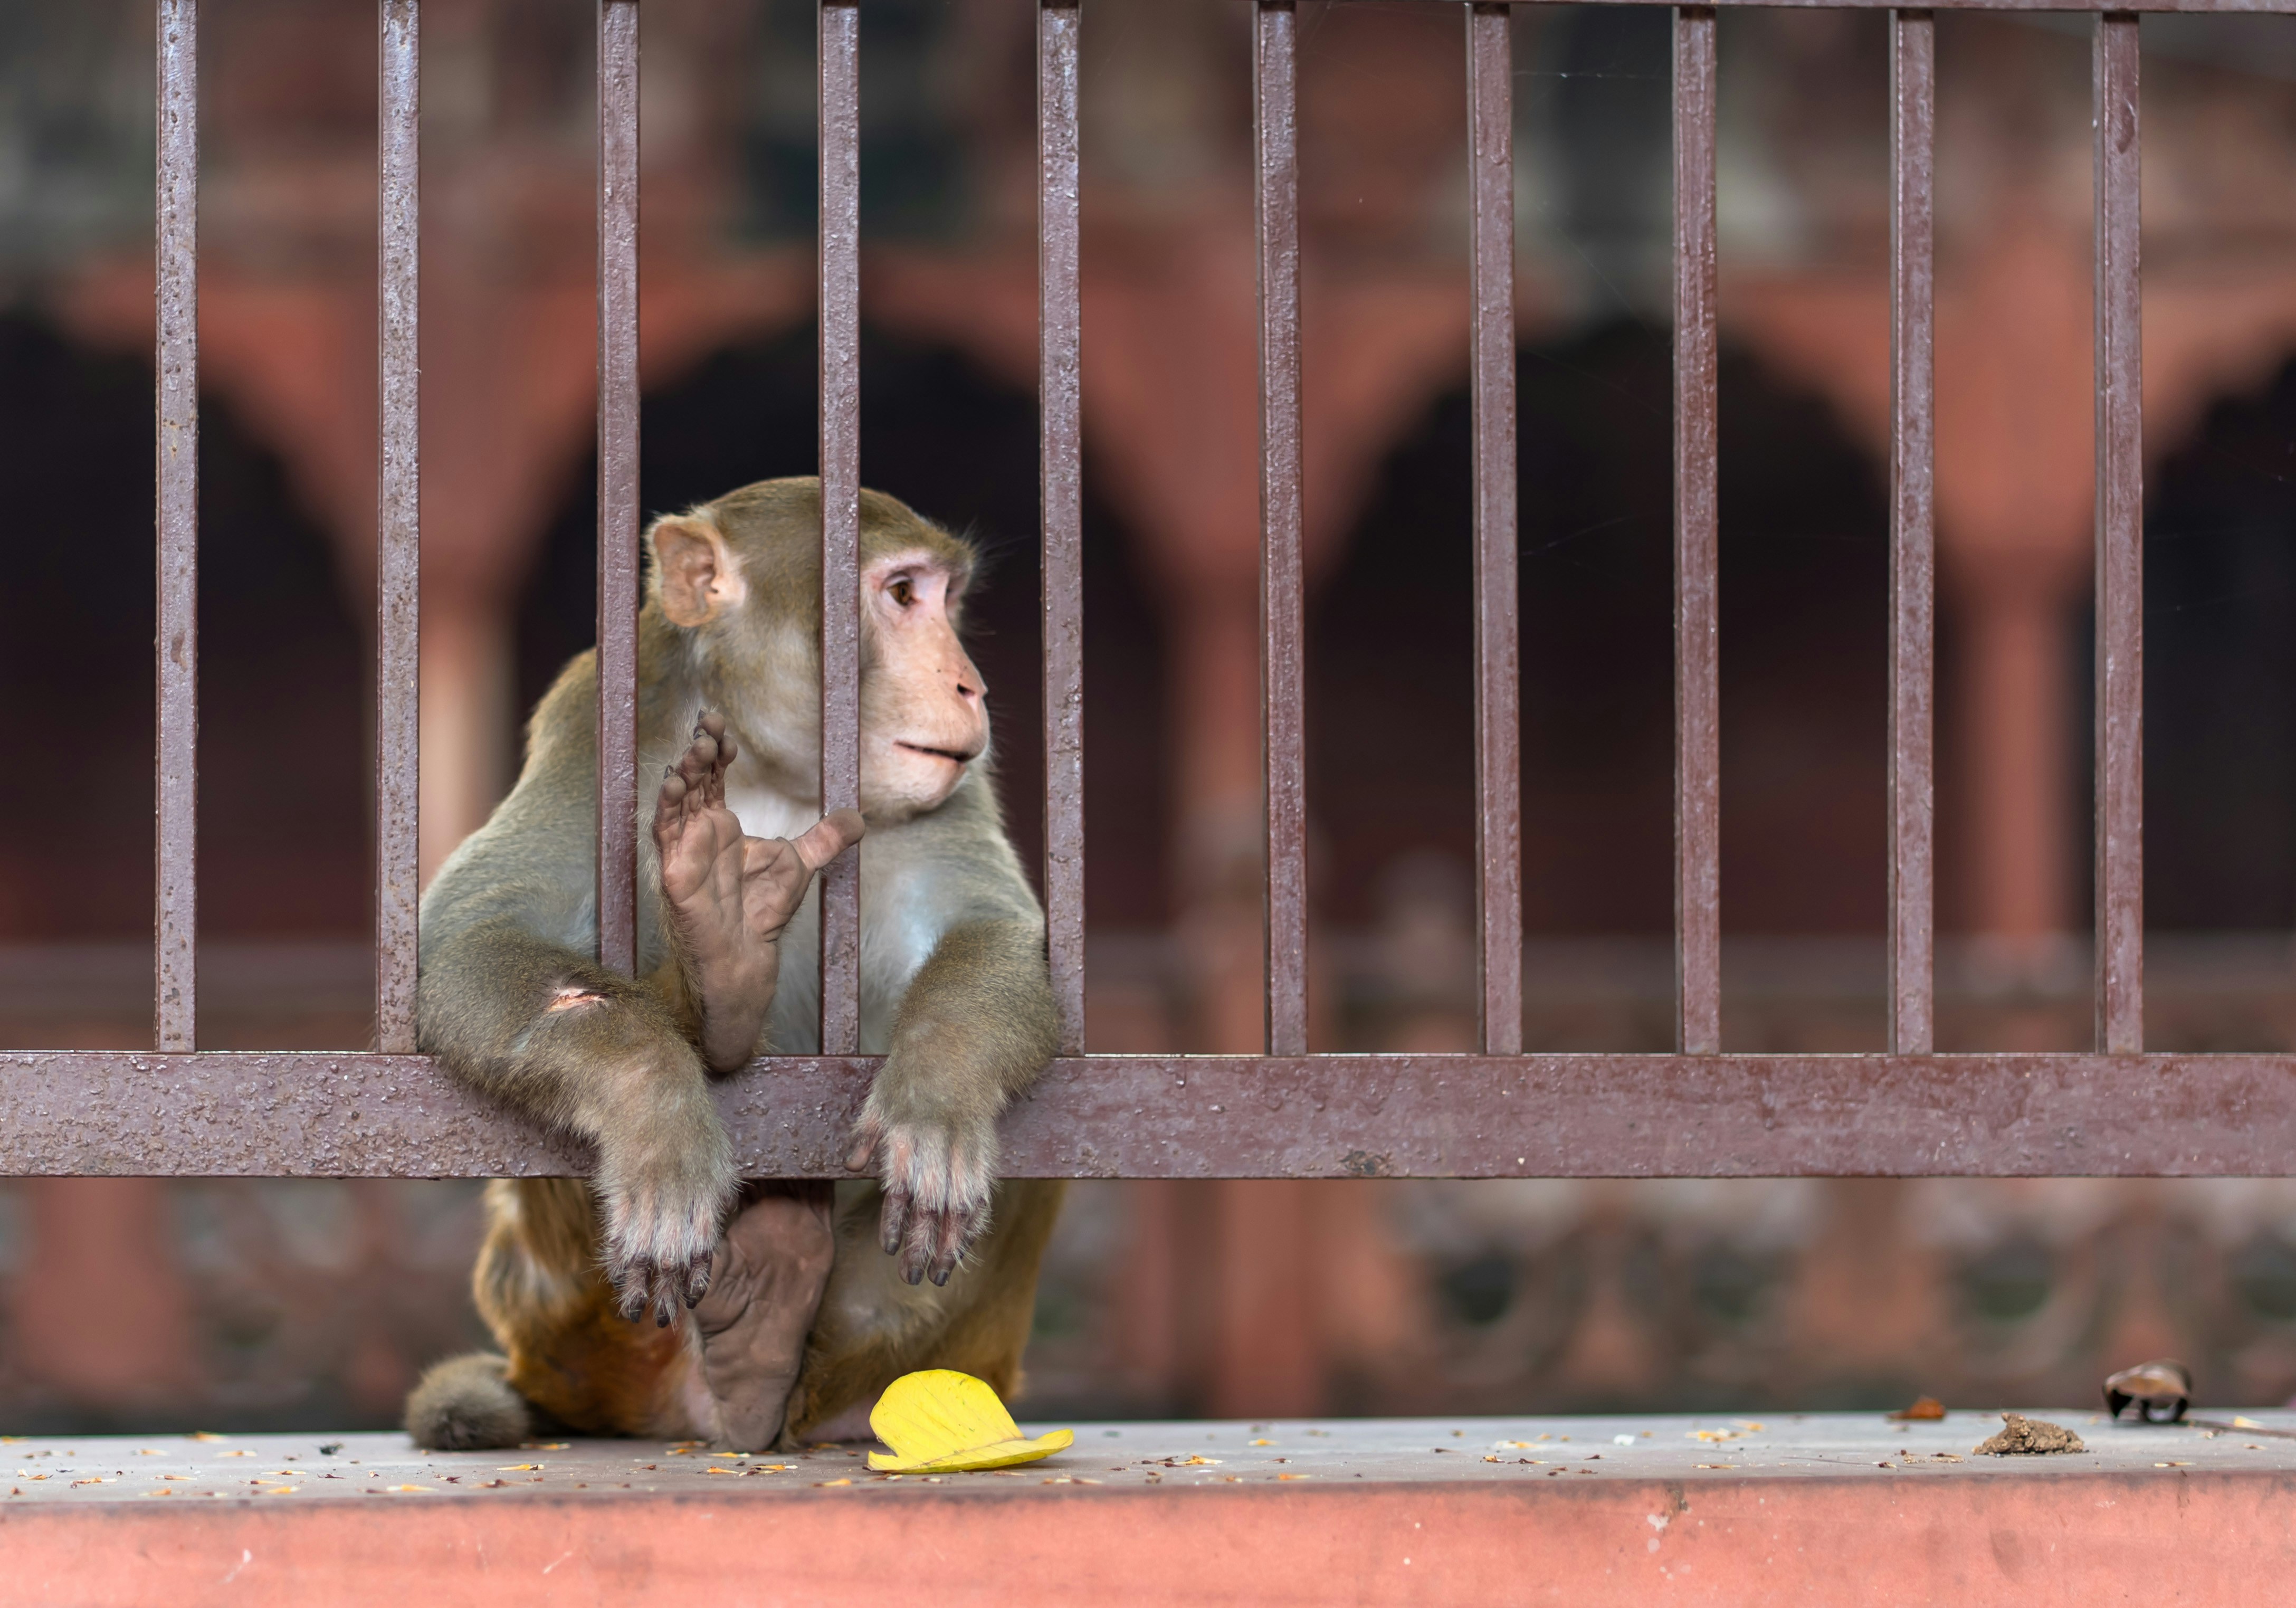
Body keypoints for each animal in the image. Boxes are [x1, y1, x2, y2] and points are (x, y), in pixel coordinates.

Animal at [403, 477, 1064, 1452]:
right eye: (903, 593)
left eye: (946, 599)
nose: (970, 685)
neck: (764, 765)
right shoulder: (596, 716)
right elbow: (472, 936)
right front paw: (655, 1106)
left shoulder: (943, 778)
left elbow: (995, 933)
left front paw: (938, 1095)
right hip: (565, 1321)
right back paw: (722, 960)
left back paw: (773, 1334)